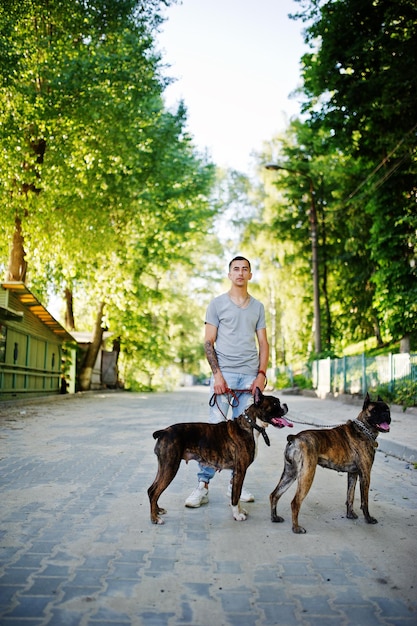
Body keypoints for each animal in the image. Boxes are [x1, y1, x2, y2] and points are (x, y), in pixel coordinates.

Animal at [148, 386, 290, 520]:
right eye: (275, 403)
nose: (285, 405)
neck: (250, 424)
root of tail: (164, 431)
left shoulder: (238, 472)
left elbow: (237, 493)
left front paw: (240, 510)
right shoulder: (240, 471)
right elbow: (235, 496)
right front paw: (237, 515)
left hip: (164, 467)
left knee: (152, 489)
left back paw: (158, 511)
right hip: (170, 467)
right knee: (155, 492)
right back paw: (155, 518)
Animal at [270, 390, 390, 532]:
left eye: (387, 409)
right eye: (375, 411)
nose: (386, 415)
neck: (364, 429)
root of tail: (295, 438)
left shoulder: (353, 474)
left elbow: (350, 496)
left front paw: (350, 514)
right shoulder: (365, 475)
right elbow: (364, 500)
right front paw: (368, 519)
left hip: (290, 473)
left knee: (275, 494)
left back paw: (274, 518)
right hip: (307, 475)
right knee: (295, 502)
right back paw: (296, 528)